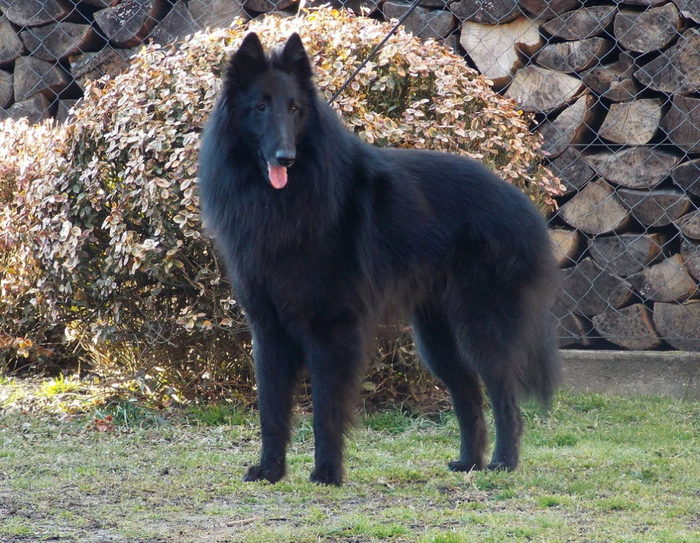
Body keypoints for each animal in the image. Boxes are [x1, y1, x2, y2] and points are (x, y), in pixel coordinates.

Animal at [200, 31, 560, 486]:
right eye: (260, 108)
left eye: (295, 109)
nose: (285, 157)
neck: (285, 201)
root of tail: (522, 202)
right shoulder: (268, 331)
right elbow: (271, 409)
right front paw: (270, 470)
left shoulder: (331, 330)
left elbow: (325, 411)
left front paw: (327, 473)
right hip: (436, 338)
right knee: (469, 396)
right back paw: (469, 462)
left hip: (482, 327)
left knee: (504, 397)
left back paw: (502, 463)